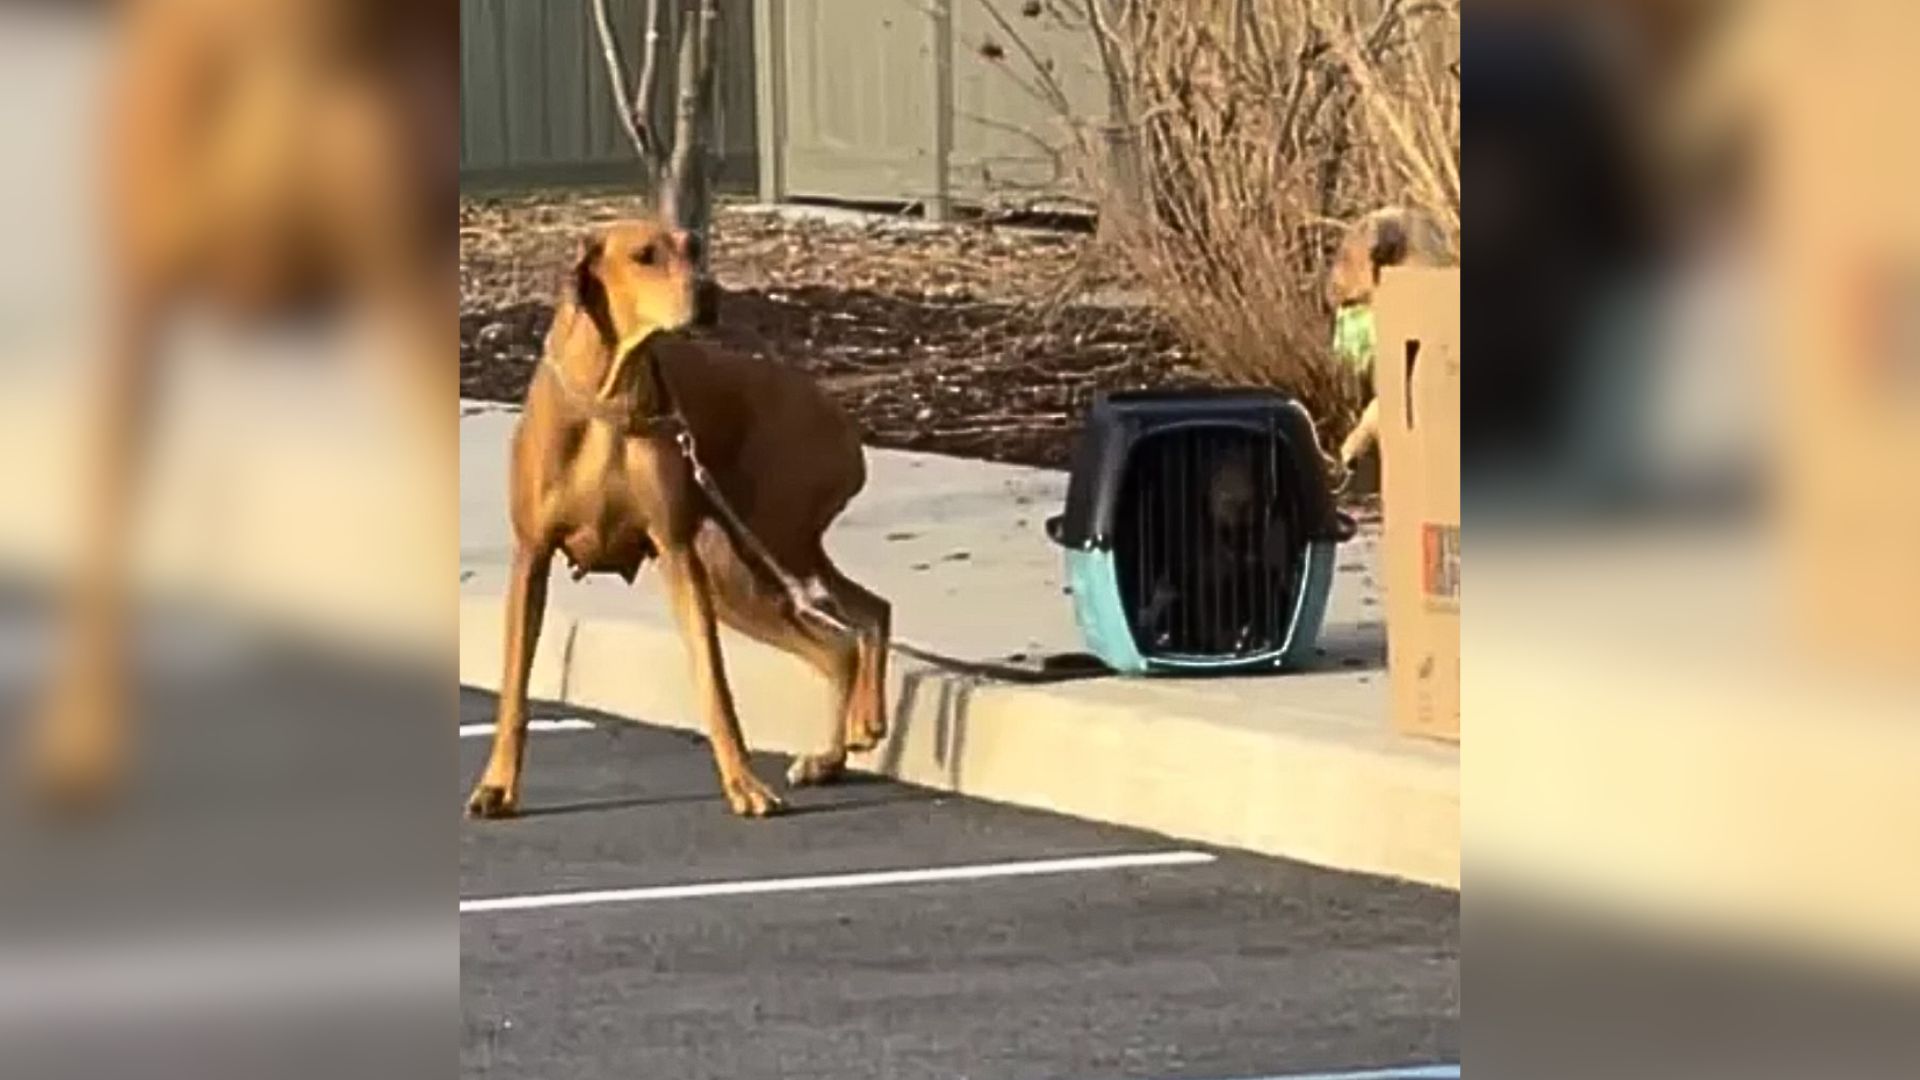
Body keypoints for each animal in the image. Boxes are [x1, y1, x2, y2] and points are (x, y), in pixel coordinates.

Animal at [460, 222, 887, 818]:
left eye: (693, 248)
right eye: (645, 255)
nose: (709, 292)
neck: (610, 395)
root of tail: (838, 415)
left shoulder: (680, 556)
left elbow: (715, 684)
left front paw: (745, 785)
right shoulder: (532, 556)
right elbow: (513, 689)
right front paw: (497, 785)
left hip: (758, 546)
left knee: (867, 616)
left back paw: (858, 729)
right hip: (749, 563)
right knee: (845, 639)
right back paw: (832, 756)